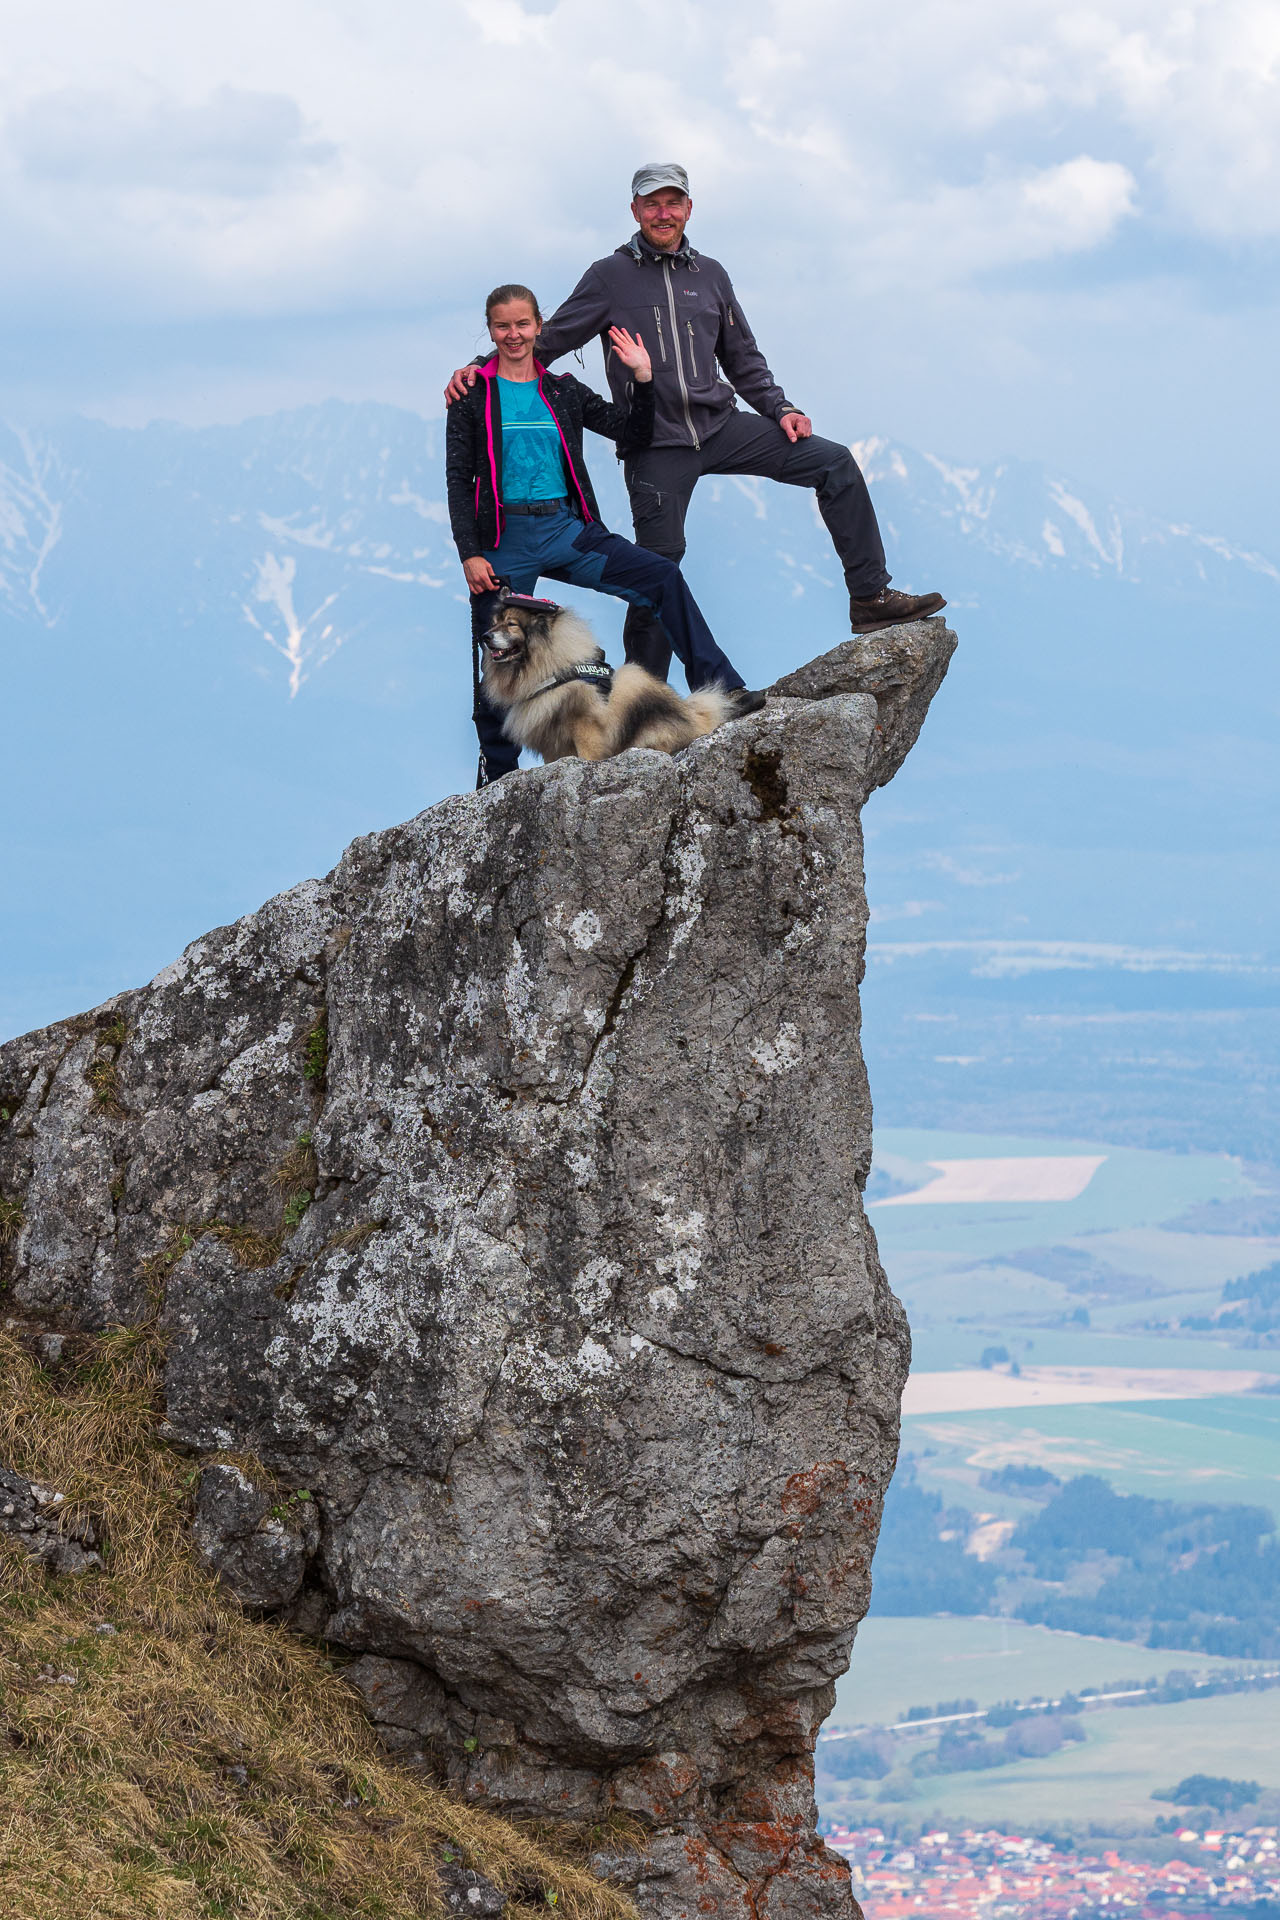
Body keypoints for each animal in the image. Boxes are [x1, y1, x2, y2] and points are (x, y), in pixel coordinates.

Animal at [479, 595, 736, 760]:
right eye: (495, 623)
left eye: (511, 624)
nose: (484, 636)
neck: (552, 667)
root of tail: (700, 722)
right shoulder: (551, 744)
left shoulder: (585, 726)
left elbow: (588, 755)